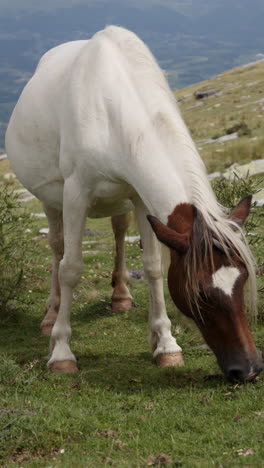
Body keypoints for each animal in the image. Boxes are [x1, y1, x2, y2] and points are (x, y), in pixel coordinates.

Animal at [5, 25, 262, 382]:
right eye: (199, 293)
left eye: (243, 281)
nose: (249, 369)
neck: (110, 108)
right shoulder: (76, 194)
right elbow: (71, 268)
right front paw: (61, 352)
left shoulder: (141, 198)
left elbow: (153, 267)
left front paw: (166, 344)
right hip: (50, 200)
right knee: (57, 249)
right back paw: (51, 315)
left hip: (119, 202)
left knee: (117, 231)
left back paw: (121, 297)